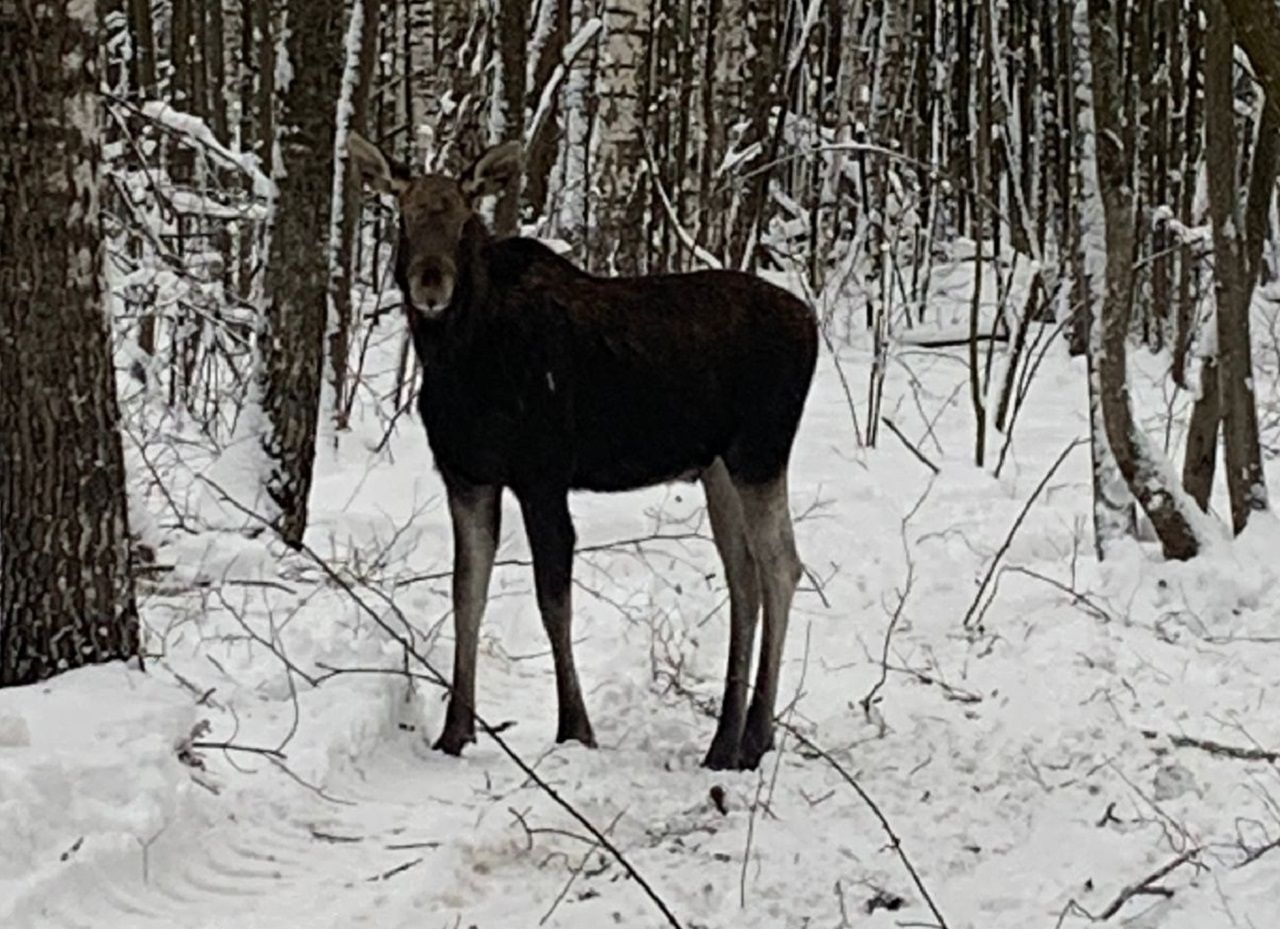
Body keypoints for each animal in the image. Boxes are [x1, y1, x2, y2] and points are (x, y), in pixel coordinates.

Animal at [347, 132, 818, 771]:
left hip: (760, 451)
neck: (459, 363)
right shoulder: (466, 476)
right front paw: (454, 731)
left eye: (465, 216)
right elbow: (467, 592)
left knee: (781, 567)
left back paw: (755, 739)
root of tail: (812, 323)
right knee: (743, 575)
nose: (430, 281)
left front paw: (575, 727)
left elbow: (553, 600)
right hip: (718, 466)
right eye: (405, 213)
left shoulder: (542, 474)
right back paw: (723, 741)